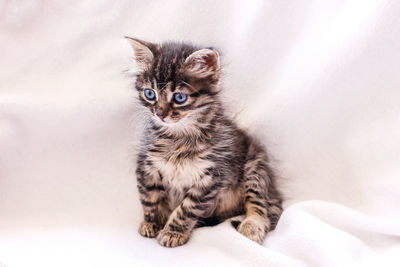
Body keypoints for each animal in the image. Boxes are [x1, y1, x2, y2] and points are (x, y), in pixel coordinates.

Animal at [127, 36, 282, 248]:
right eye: (150, 94)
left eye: (179, 97)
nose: (159, 114)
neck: (178, 137)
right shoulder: (147, 167)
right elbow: (150, 200)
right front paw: (152, 223)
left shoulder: (211, 177)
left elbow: (186, 209)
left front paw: (173, 233)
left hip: (255, 168)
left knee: (261, 207)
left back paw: (251, 227)